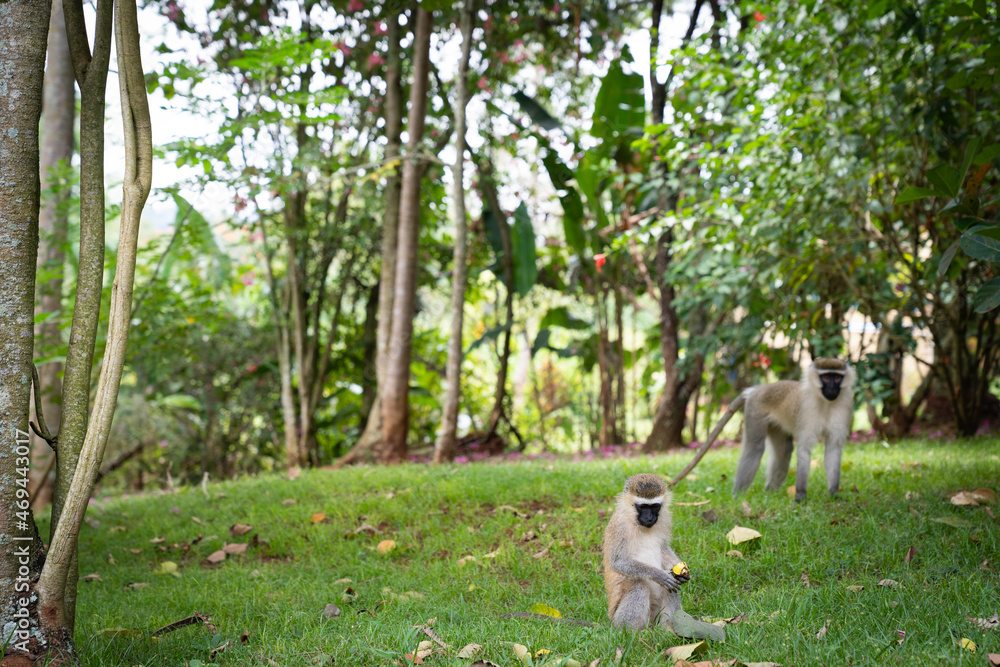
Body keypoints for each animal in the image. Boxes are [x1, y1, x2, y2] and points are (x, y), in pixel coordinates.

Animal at [602, 473, 690, 630]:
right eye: (643, 506)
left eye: (655, 506)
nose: (649, 518)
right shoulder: (619, 525)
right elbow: (619, 562)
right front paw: (658, 575)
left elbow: (663, 548)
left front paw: (682, 571)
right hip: (618, 619)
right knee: (640, 588)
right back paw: (632, 633)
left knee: (672, 589)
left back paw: (666, 629)